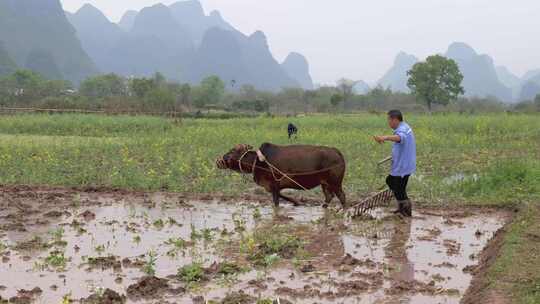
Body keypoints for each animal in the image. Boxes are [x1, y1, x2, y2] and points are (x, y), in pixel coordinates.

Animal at [217, 143, 348, 209]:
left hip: (335, 182)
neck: (258, 161)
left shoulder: (274, 184)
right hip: (324, 183)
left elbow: (276, 202)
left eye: (232, 151)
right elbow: (282, 196)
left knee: (341, 196)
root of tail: (336, 151)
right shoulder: (274, 187)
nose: (218, 161)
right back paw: (323, 207)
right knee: (329, 196)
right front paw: (295, 202)